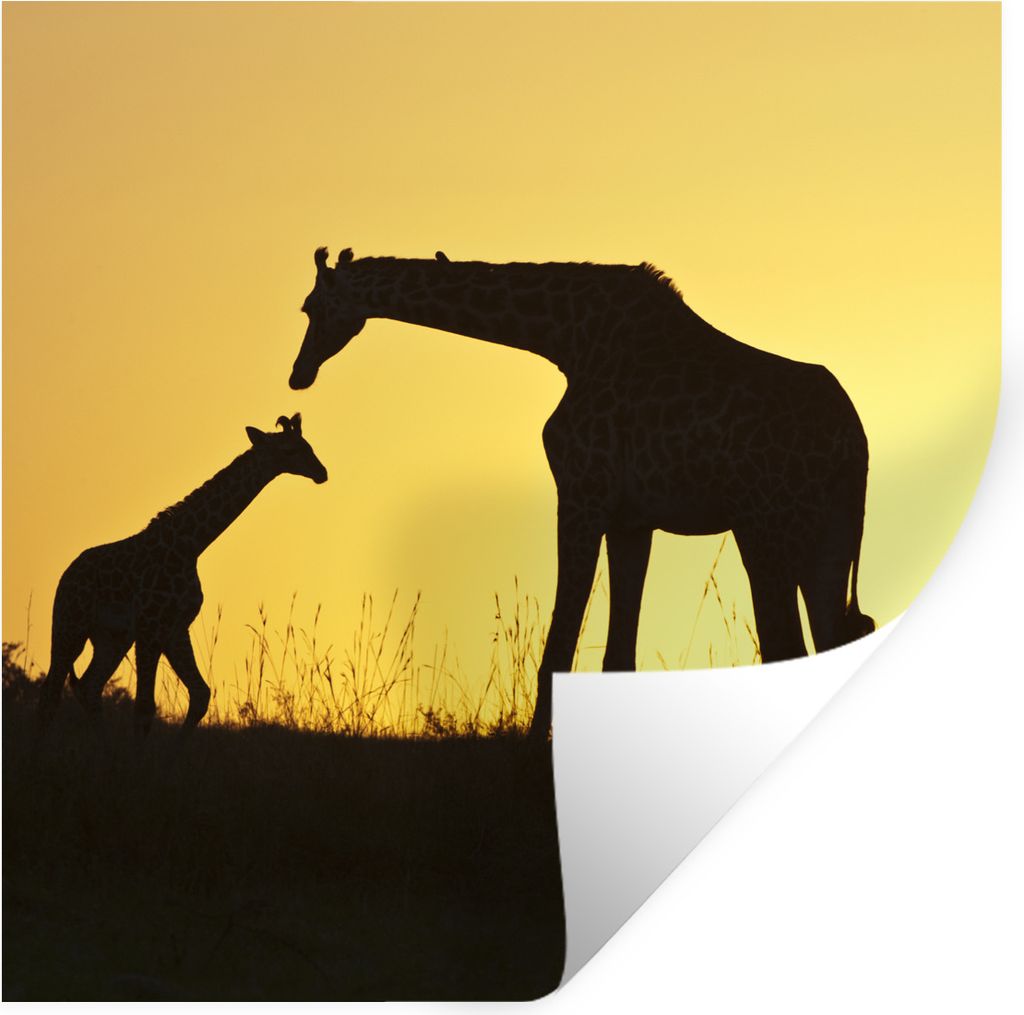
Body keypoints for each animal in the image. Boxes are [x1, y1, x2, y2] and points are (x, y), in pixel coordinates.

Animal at [37, 414, 328, 734]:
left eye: (308, 445)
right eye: (290, 450)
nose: (321, 472)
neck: (189, 546)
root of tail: (66, 575)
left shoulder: (175, 627)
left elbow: (200, 694)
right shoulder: (151, 626)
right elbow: (144, 707)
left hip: (111, 637)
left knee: (89, 686)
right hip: (70, 625)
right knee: (51, 691)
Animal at [288, 248, 874, 737]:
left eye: (311, 307)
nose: (298, 374)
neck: (566, 338)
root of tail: (854, 442)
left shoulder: (580, 496)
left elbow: (562, 640)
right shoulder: (632, 520)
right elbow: (618, 654)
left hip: (768, 527)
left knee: (789, 641)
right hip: (826, 534)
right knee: (831, 633)